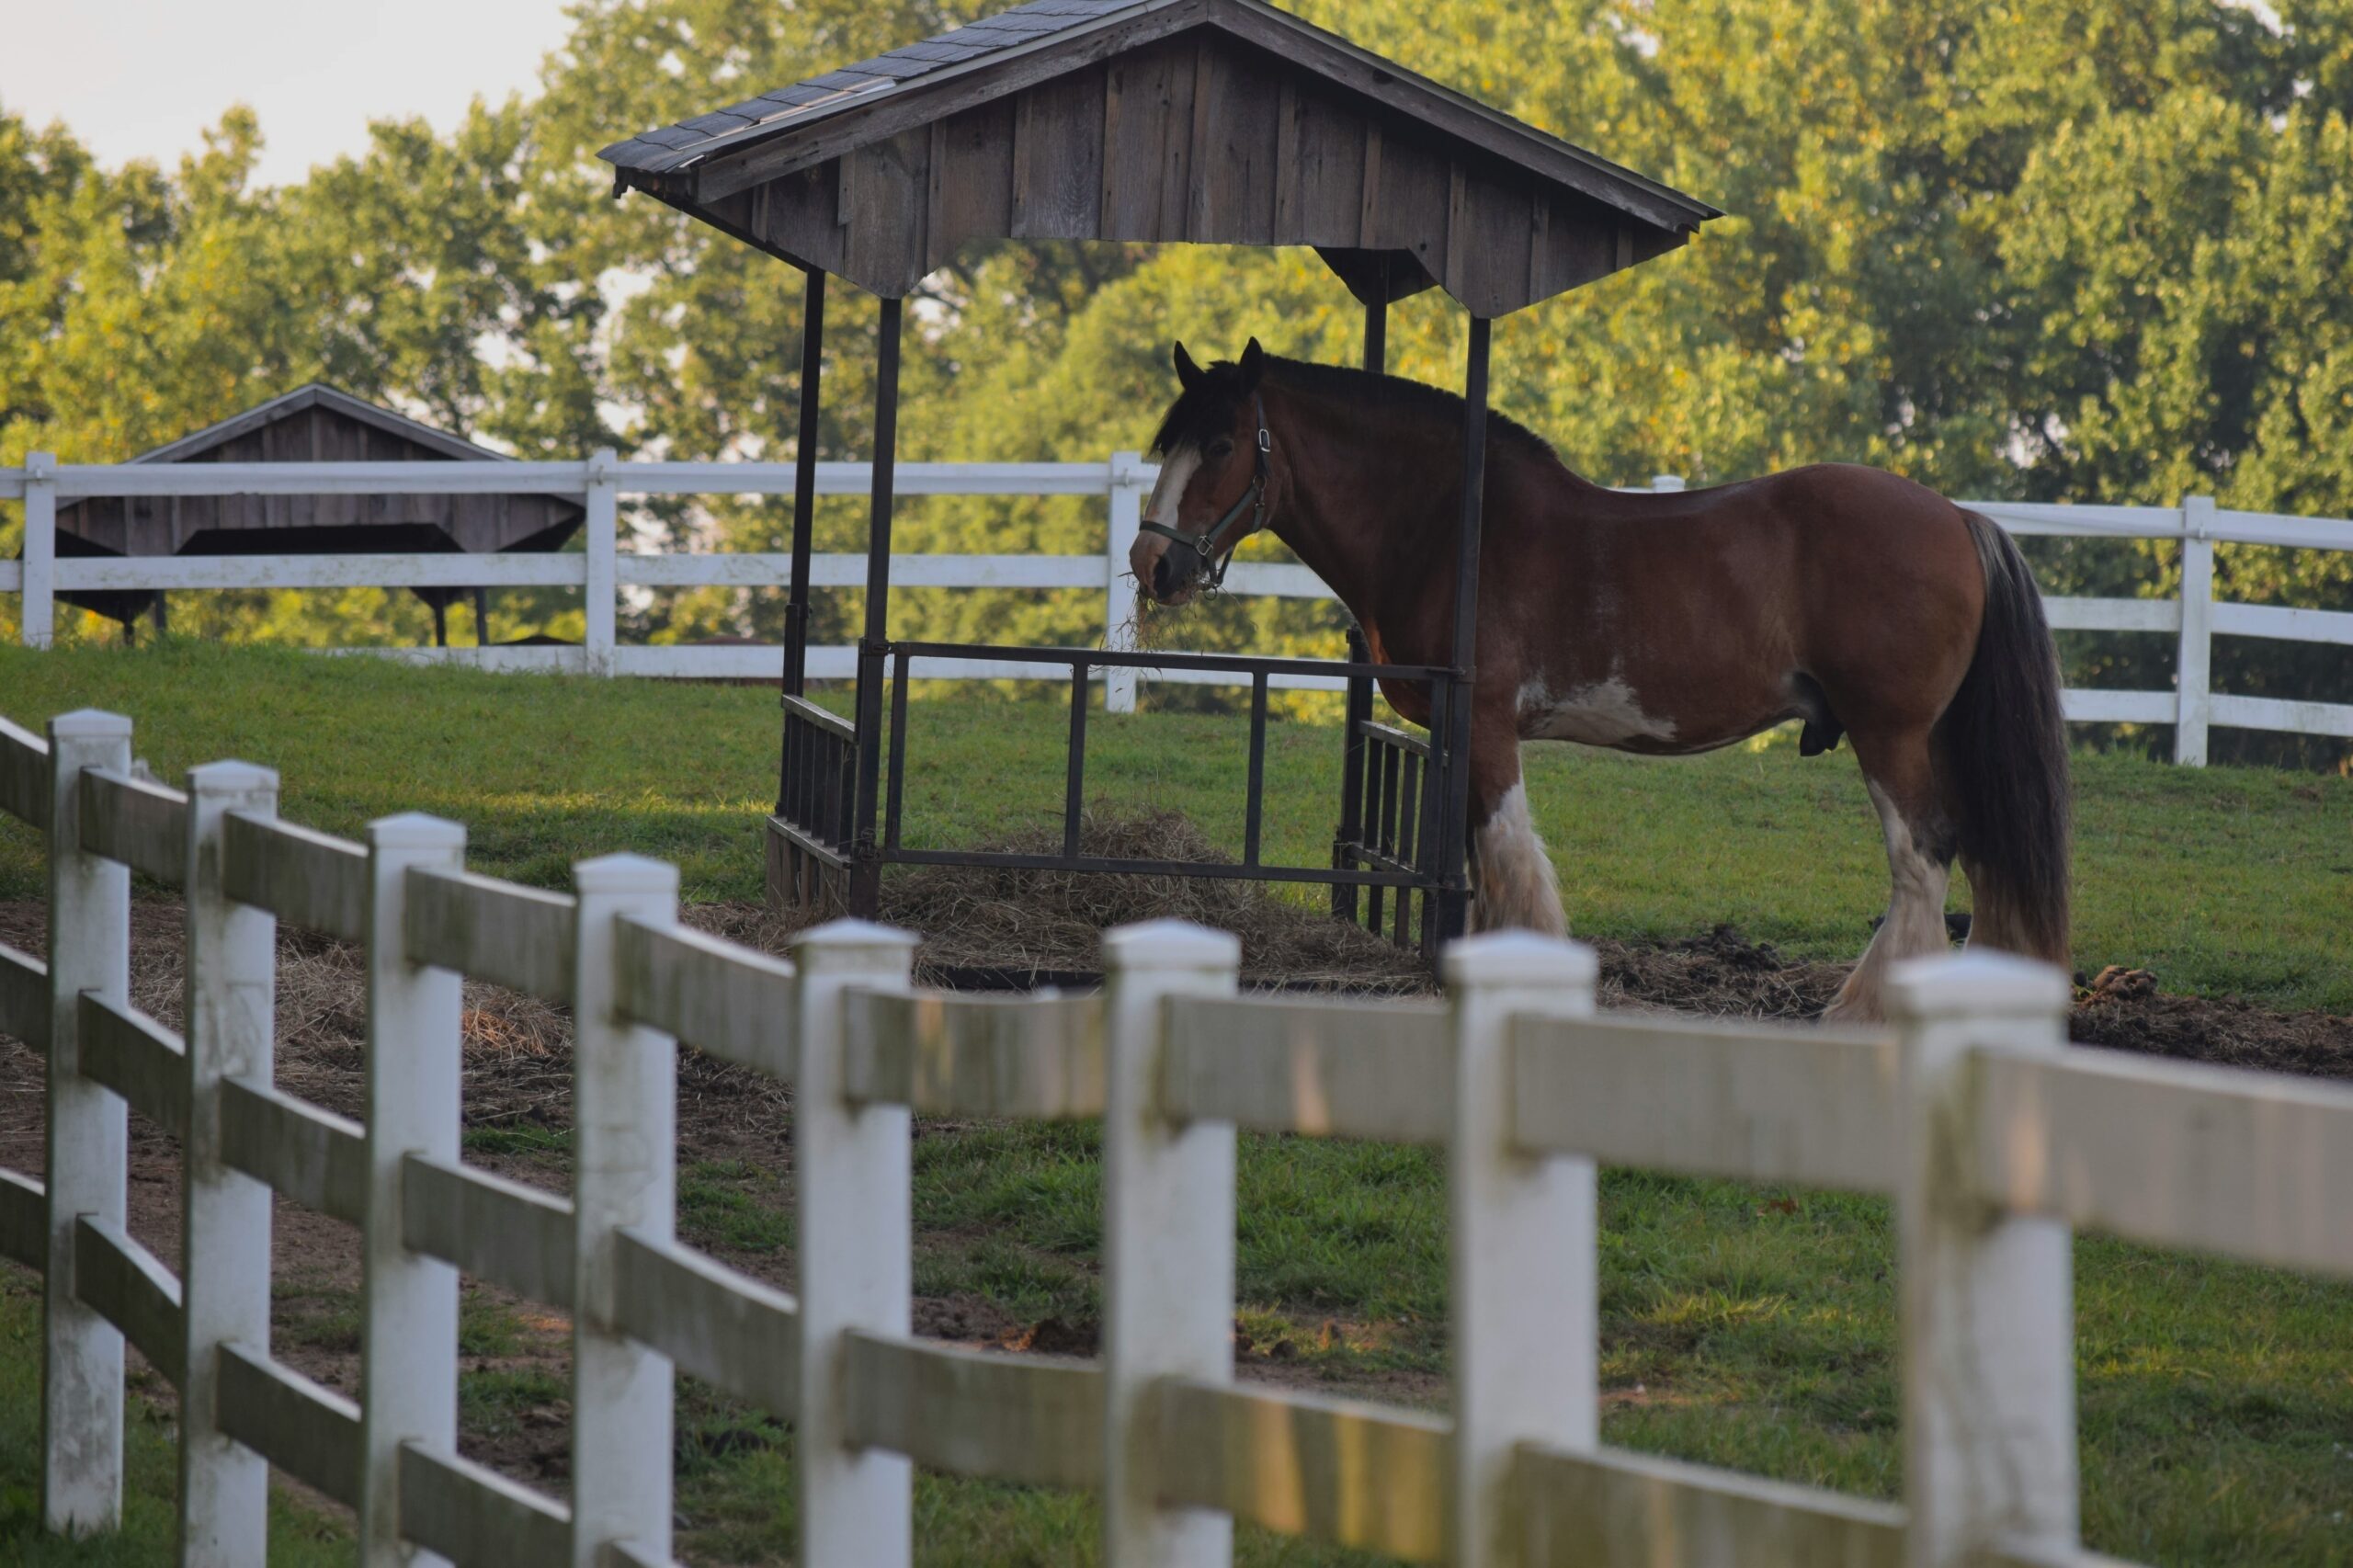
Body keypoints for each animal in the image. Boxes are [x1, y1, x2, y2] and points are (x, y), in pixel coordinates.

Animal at [1129, 338, 2070, 1026]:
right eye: (1168, 442)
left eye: (1221, 444)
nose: (1150, 564)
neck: (1451, 526)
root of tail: (1960, 517)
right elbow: (1478, 859)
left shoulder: (1487, 726)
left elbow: (1507, 857)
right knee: (1979, 855)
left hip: (1892, 734)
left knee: (1925, 856)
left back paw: (1863, 1010)